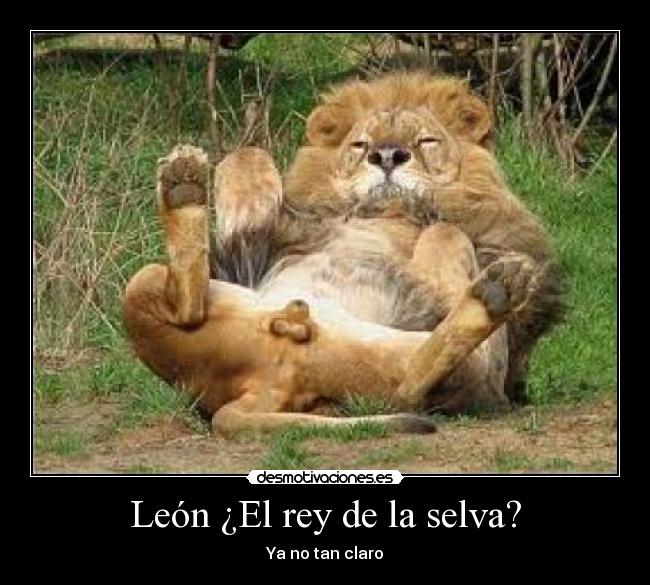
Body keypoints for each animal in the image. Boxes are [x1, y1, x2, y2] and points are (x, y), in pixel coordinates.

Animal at [122, 72, 564, 436]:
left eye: (424, 141)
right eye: (361, 144)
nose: (387, 156)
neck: (387, 213)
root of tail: (240, 393)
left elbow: (445, 229)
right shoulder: (254, 250)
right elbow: (247, 156)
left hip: (424, 365)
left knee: (412, 385)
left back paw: (496, 291)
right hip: (151, 286)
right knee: (187, 306)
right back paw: (183, 188)